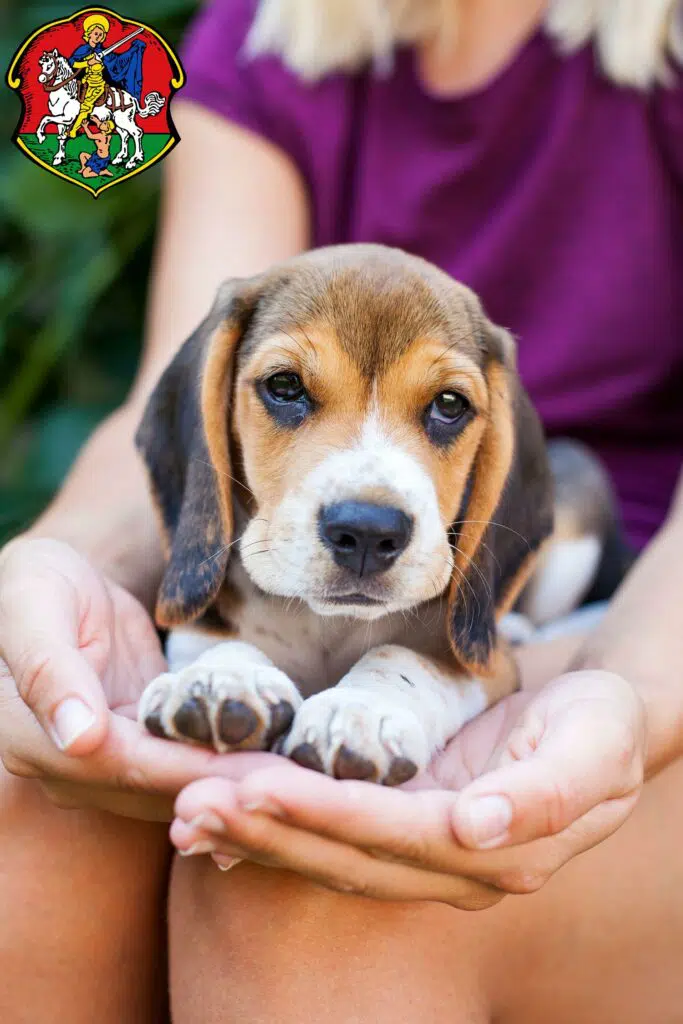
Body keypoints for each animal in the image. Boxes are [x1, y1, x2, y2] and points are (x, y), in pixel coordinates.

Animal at [35, 49, 165, 169]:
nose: (41, 79)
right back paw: (119, 158)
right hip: (118, 122)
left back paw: (133, 160)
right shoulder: (61, 121)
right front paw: (58, 158)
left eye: (50, 65)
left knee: (137, 132)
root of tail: (132, 98)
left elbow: (45, 118)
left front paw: (41, 136)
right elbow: (60, 137)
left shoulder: (68, 118)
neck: (67, 93)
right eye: (42, 64)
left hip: (124, 120)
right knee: (125, 135)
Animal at [136, 241, 610, 782]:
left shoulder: (487, 666)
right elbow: (214, 641)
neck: (330, 624)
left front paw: (358, 711)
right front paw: (221, 677)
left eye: (450, 404)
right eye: (285, 386)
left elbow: (401, 656)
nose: (367, 532)